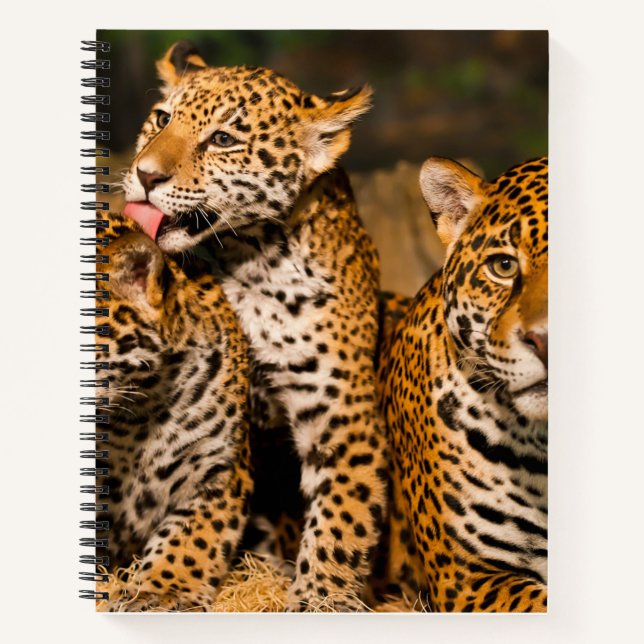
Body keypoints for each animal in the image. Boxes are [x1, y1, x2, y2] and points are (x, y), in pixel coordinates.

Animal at [122, 41, 388, 611]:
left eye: (223, 139)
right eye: (161, 118)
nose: (145, 175)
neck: (251, 261)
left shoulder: (345, 416)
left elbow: (343, 520)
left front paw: (320, 599)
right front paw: (158, 588)